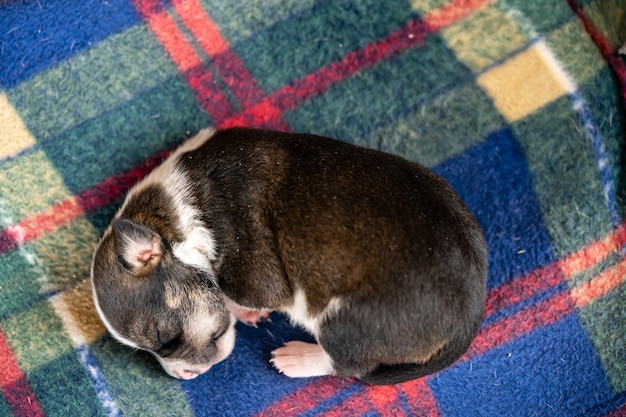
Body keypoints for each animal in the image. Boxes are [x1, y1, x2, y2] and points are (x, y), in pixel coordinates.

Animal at [89, 127, 488, 384]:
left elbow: (234, 296)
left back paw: (298, 358)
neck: (166, 220)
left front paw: (243, 311)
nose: (184, 376)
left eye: (165, 339)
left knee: (348, 365)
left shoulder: (253, 280)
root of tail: (468, 320)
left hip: (342, 322)